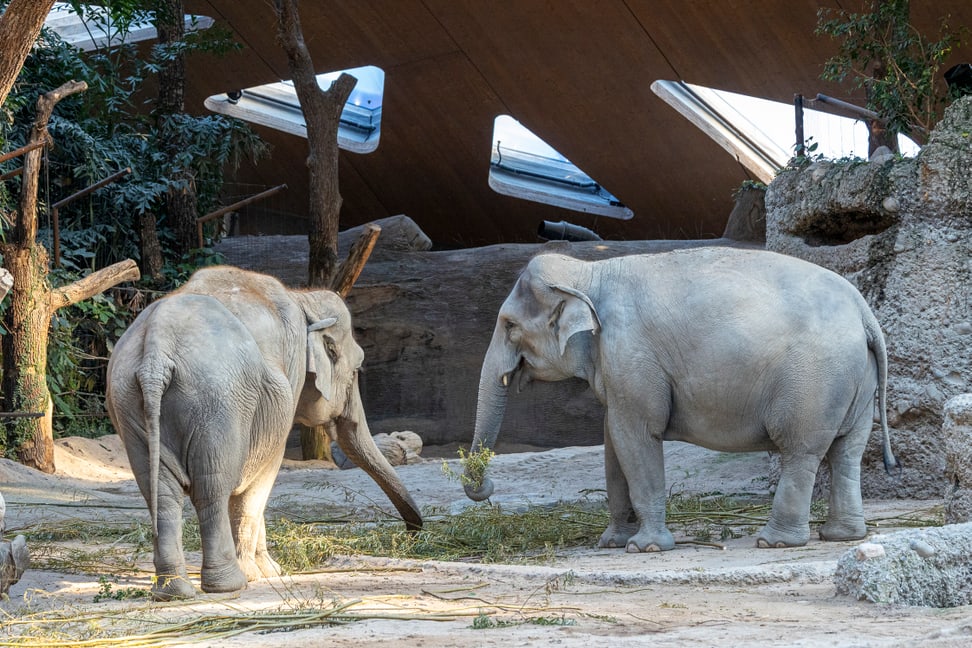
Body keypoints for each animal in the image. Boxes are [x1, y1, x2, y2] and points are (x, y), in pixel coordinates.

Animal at [107, 266, 422, 600]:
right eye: (356, 370)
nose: (412, 535)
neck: (304, 299)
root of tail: (157, 350)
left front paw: (270, 570)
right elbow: (263, 475)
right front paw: (264, 573)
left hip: (129, 401)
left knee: (161, 491)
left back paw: (174, 591)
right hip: (217, 403)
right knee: (212, 487)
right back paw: (229, 584)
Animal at [468, 248, 900, 552]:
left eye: (510, 326)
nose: (484, 486)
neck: (589, 272)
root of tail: (864, 311)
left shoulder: (631, 354)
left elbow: (636, 437)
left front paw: (644, 547)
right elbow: (613, 444)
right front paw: (611, 542)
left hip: (813, 381)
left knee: (802, 451)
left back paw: (773, 541)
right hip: (856, 380)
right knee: (848, 451)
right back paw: (842, 536)